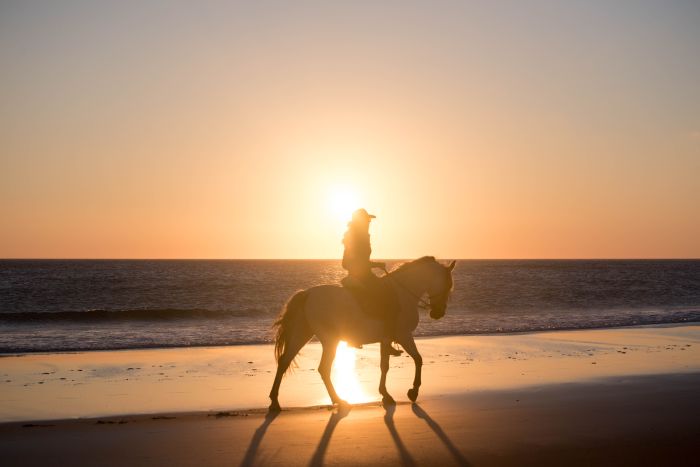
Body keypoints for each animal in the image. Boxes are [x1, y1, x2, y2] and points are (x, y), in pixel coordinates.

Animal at [266, 256, 454, 414]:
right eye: (448, 286)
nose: (438, 313)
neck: (402, 294)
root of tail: (308, 294)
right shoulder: (403, 335)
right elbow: (417, 359)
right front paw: (412, 391)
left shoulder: (386, 339)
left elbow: (385, 365)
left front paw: (386, 394)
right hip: (330, 340)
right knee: (323, 368)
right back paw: (339, 400)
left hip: (302, 333)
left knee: (284, 361)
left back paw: (275, 402)